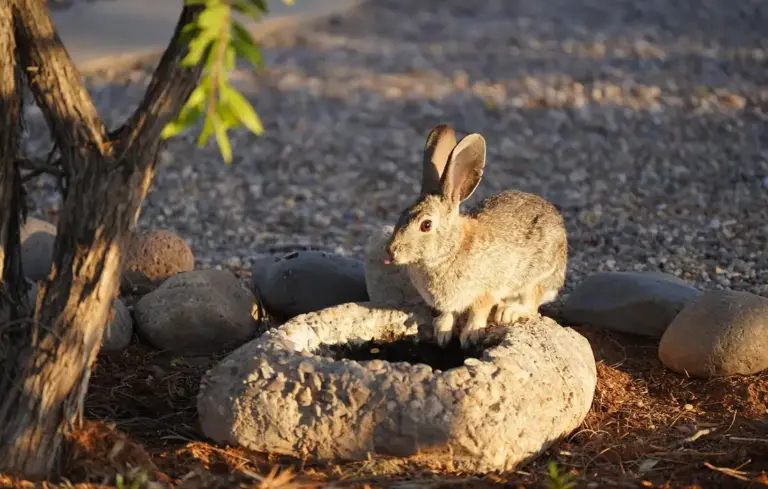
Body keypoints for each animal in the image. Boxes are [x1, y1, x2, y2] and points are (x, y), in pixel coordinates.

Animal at [384, 124, 567, 348]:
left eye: (426, 225)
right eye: (401, 214)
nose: (391, 252)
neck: (450, 249)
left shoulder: (486, 290)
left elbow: (479, 311)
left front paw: (470, 335)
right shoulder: (450, 302)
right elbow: (449, 313)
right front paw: (442, 332)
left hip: (536, 278)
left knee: (531, 305)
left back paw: (508, 312)